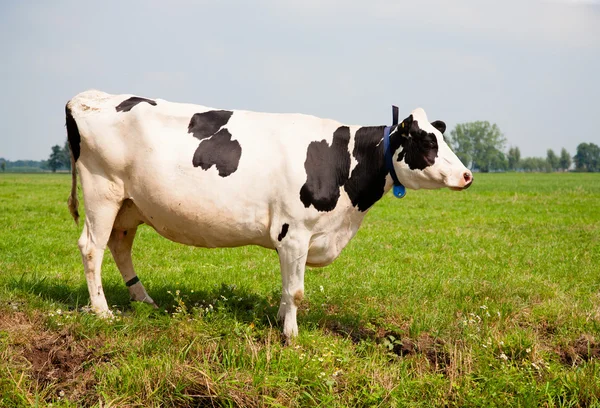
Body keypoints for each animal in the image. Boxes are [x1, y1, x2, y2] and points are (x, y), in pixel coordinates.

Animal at [64, 91, 468, 340]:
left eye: (441, 138)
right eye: (427, 142)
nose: (467, 175)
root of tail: (89, 97)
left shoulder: (295, 239)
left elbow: (287, 287)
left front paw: (279, 320)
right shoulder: (295, 232)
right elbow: (297, 290)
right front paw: (291, 334)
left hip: (129, 204)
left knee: (118, 245)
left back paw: (143, 300)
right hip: (102, 191)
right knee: (91, 247)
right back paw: (102, 311)